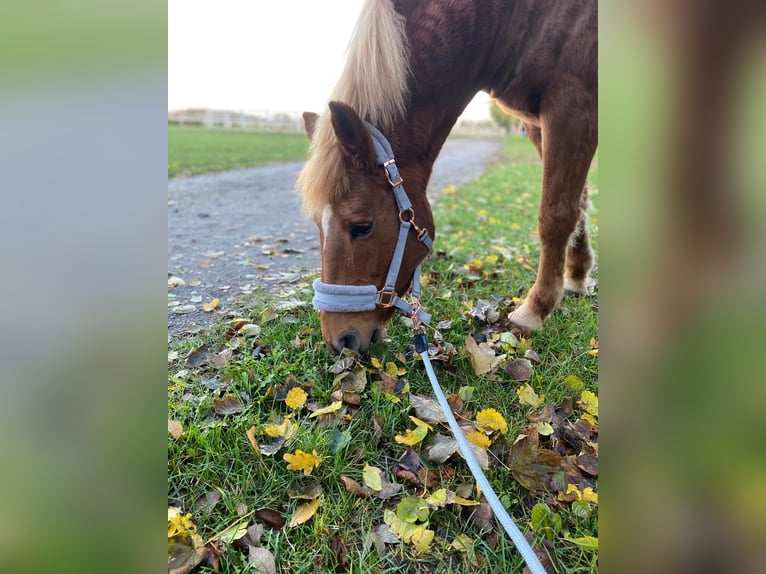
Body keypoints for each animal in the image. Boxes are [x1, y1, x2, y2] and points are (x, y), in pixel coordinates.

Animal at [297, 0, 597, 353]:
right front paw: (576, 276)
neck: (516, 19)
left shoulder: (572, 109)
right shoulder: (537, 123)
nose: (340, 341)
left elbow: (556, 215)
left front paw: (534, 309)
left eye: (361, 226)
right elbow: (578, 204)